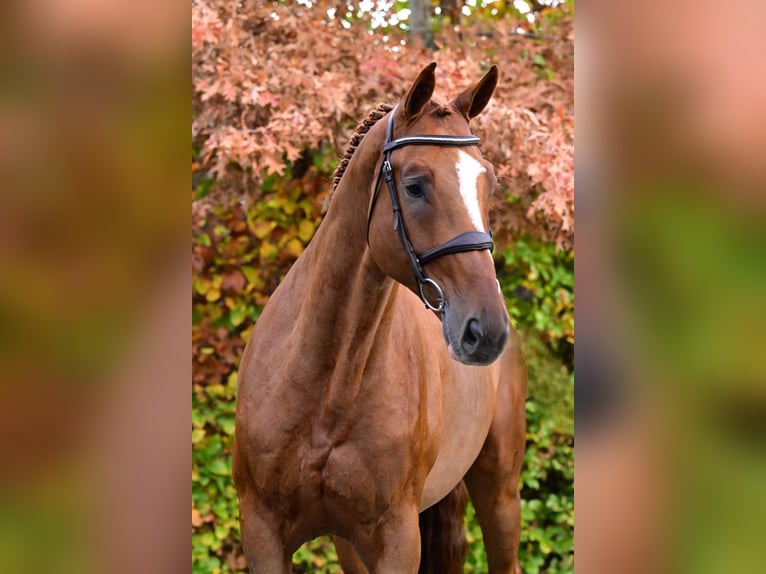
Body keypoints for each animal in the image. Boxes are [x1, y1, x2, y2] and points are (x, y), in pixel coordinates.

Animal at [233, 62, 527, 573]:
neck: (325, 388)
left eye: (488, 183)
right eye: (414, 185)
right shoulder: (263, 532)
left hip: (500, 495)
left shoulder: (397, 538)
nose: (487, 329)